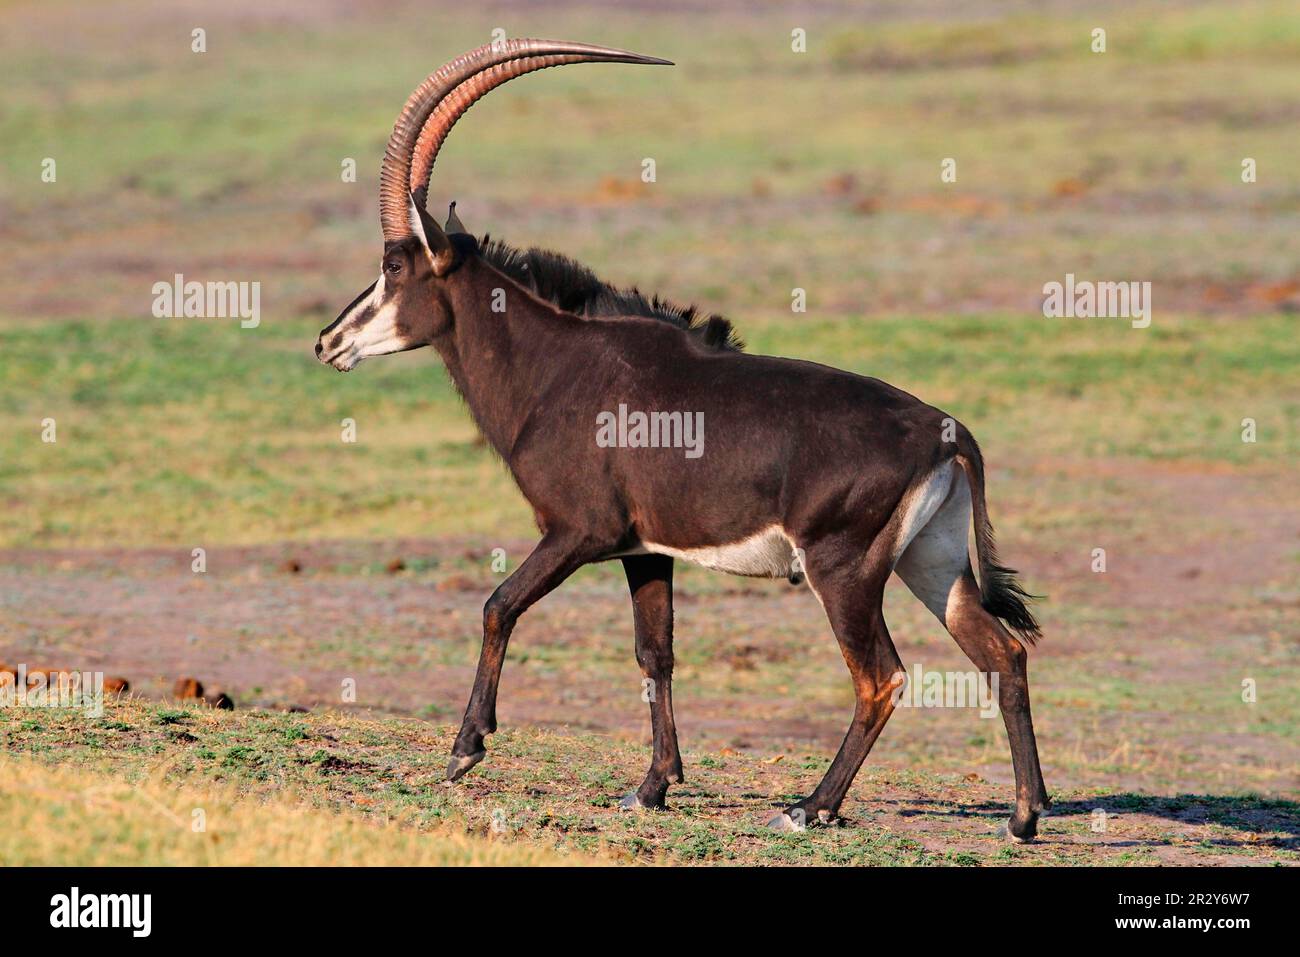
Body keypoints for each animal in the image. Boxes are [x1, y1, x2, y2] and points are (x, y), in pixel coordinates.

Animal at [319, 37, 1050, 837]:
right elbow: (655, 653)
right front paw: (652, 785)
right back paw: (1022, 815)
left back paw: (811, 806)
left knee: (881, 677)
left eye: (394, 265)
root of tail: (946, 432)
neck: (556, 363)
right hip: (930, 561)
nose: (328, 342)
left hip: (843, 569)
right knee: (1003, 655)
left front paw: (465, 749)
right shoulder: (645, 550)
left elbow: (498, 604)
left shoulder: (578, 531)